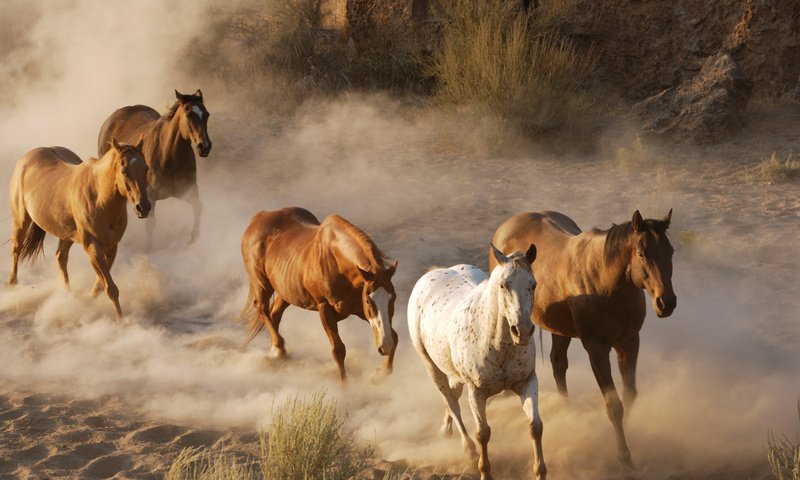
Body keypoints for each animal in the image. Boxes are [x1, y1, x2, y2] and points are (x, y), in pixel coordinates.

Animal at [8, 137, 152, 320]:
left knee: (60, 258)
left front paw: (88, 300)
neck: (99, 198)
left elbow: (101, 285)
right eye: (124, 170)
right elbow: (111, 288)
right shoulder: (93, 247)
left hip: (66, 234)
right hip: (21, 220)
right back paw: (12, 285)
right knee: (16, 248)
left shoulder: (112, 246)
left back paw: (68, 296)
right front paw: (121, 321)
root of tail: (26, 158)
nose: (143, 207)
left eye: (145, 168)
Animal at [97, 89, 212, 251]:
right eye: (189, 114)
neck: (169, 155)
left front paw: (194, 239)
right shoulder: (149, 197)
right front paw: (149, 249)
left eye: (206, 114)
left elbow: (198, 207)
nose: (205, 147)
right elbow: (150, 224)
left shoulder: (188, 190)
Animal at [239, 208, 398, 380]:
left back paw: (276, 353)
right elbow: (338, 350)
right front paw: (344, 385)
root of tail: (259, 217)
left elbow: (394, 336)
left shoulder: (359, 309)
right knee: (262, 308)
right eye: (369, 301)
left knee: (274, 314)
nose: (385, 346)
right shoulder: (325, 308)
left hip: (285, 291)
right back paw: (279, 349)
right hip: (262, 284)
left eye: (393, 298)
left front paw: (382, 373)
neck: (337, 262)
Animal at [410, 246, 548, 478]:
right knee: (451, 402)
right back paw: (468, 449)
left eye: (533, 284)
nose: (522, 331)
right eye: (503, 285)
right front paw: (485, 472)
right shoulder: (476, 392)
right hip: (431, 366)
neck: (497, 344)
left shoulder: (527, 382)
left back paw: (446, 429)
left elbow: (535, 426)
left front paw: (540, 472)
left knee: (453, 396)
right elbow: (483, 433)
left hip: (453, 372)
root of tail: (433, 273)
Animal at [490, 210, 680, 468]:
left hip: (560, 330)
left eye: (670, 251)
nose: (666, 302)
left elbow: (629, 395)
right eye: (642, 253)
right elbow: (614, 404)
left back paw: (566, 409)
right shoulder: (596, 349)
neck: (606, 283)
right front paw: (623, 454)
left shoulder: (629, 343)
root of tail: (506, 226)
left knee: (558, 364)